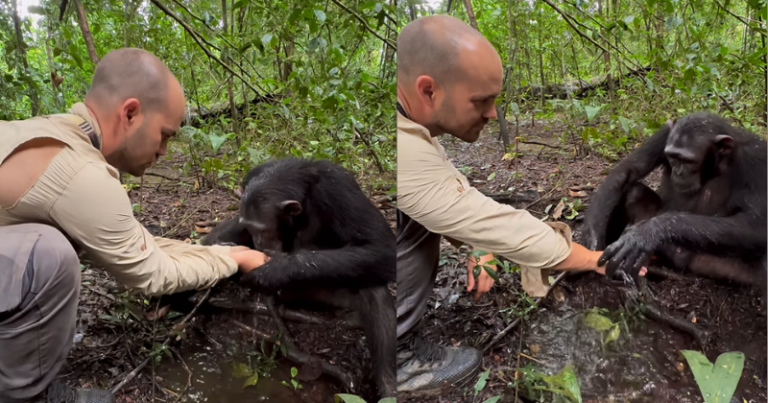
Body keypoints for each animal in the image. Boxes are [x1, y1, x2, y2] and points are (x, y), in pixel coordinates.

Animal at [201, 157, 396, 398]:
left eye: (263, 230)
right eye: (251, 228)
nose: (258, 242)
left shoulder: (341, 190)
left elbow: (380, 246)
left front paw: (275, 270)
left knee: (374, 290)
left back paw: (389, 387)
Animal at [584, 112, 768, 296]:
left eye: (689, 161)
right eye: (673, 157)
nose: (678, 172)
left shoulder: (758, 159)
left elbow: (757, 223)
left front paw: (645, 234)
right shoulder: (665, 134)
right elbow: (628, 170)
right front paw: (593, 239)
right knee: (634, 192)